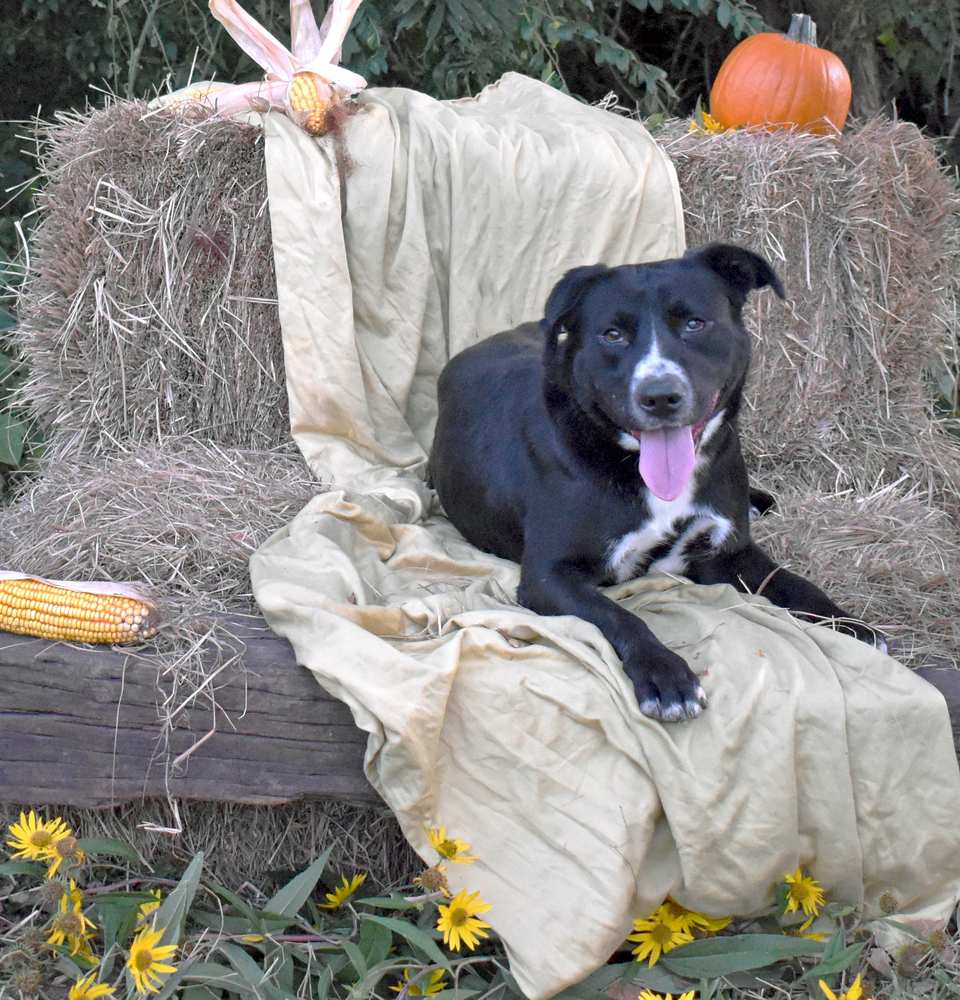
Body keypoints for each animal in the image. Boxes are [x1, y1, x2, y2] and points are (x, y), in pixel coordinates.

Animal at [432, 246, 880, 724]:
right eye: (612, 334)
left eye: (695, 323)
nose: (660, 396)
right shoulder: (548, 576)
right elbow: (620, 618)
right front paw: (666, 675)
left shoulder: (728, 550)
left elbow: (793, 582)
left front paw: (850, 625)